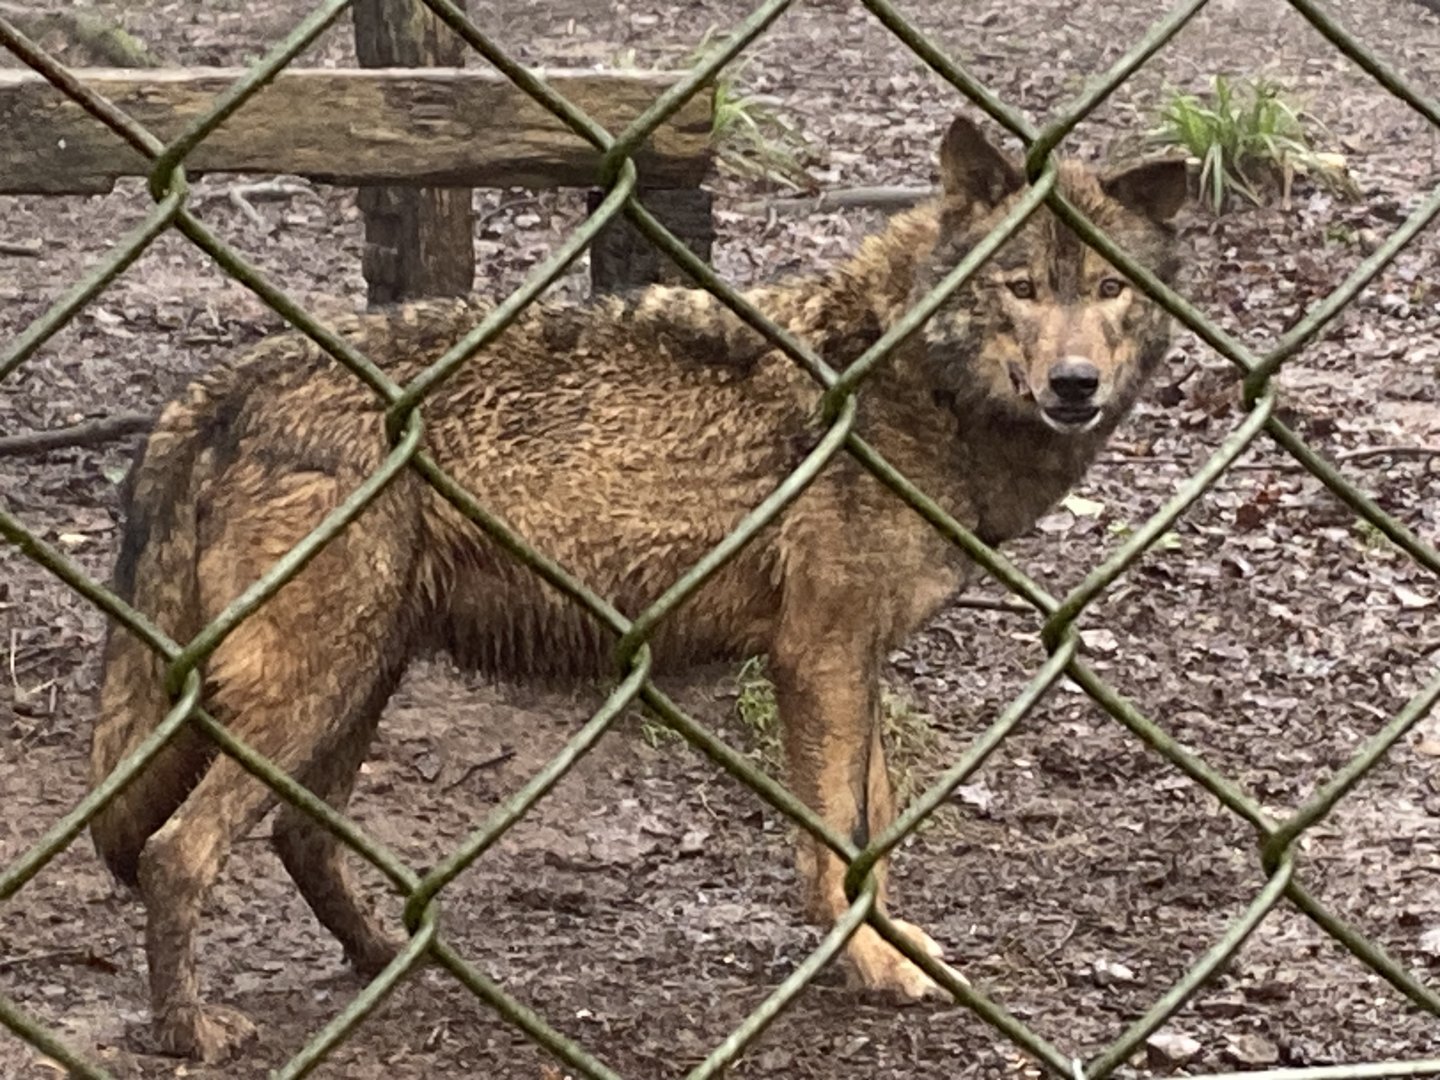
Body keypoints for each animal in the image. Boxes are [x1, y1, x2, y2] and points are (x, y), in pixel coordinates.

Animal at [88, 112, 1187, 1061]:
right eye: (1020, 287)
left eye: (1109, 289)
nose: (1076, 385)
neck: (900, 376)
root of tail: (220, 386)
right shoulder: (818, 657)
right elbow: (835, 842)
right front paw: (868, 965)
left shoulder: (857, 661)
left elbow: (874, 834)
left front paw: (889, 943)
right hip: (310, 690)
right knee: (177, 853)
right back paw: (191, 1034)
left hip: (357, 682)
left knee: (301, 838)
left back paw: (390, 963)